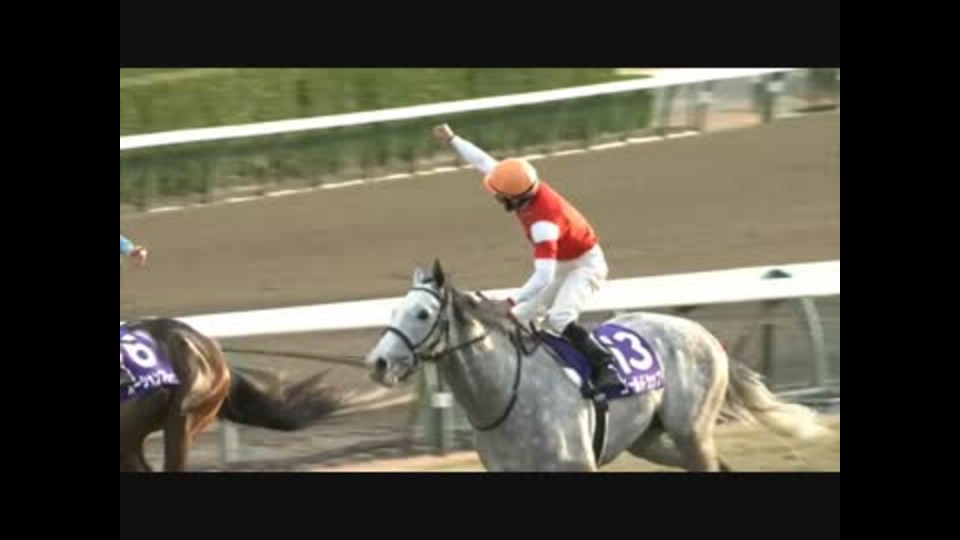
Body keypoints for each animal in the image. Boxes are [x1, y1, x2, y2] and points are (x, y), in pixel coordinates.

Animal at [363, 260, 832, 472]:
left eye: (422, 314)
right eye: (395, 310)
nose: (378, 363)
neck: (506, 395)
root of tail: (704, 334)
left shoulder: (577, 465)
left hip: (691, 430)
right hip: (649, 438)